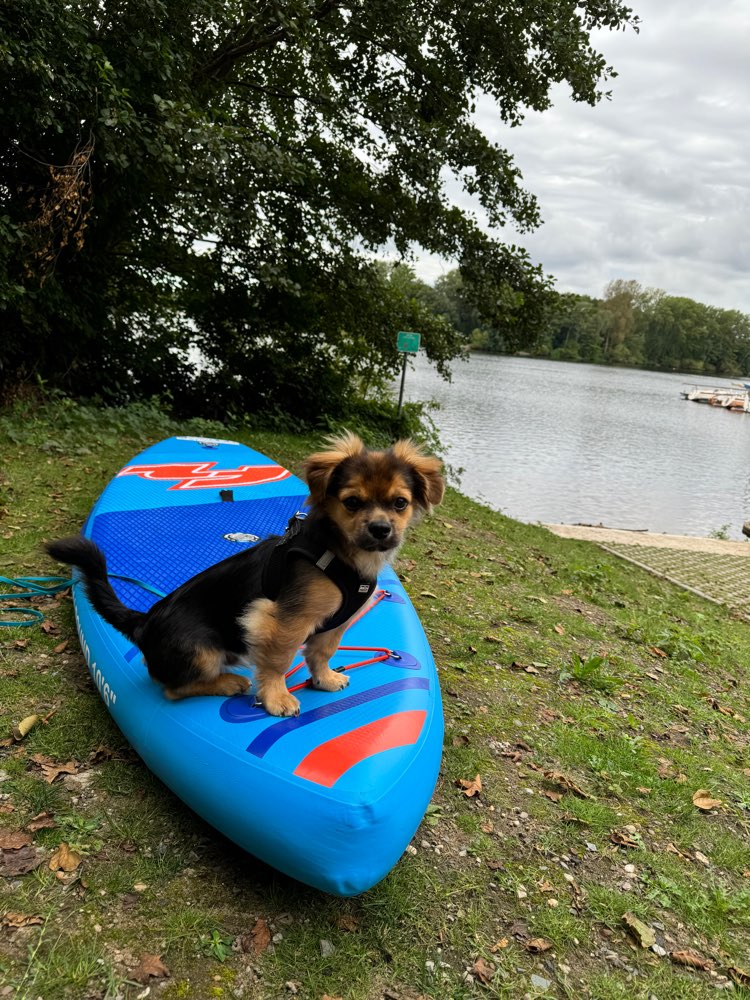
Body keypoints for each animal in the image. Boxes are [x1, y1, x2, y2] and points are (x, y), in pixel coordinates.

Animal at [45, 434, 446, 716]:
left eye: (399, 503)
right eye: (352, 503)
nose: (380, 529)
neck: (344, 556)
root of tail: (144, 621)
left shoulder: (335, 622)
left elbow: (322, 651)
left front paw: (323, 678)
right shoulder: (282, 619)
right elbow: (278, 660)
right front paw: (276, 697)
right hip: (202, 651)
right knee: (173, 689)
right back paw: (228, 683)